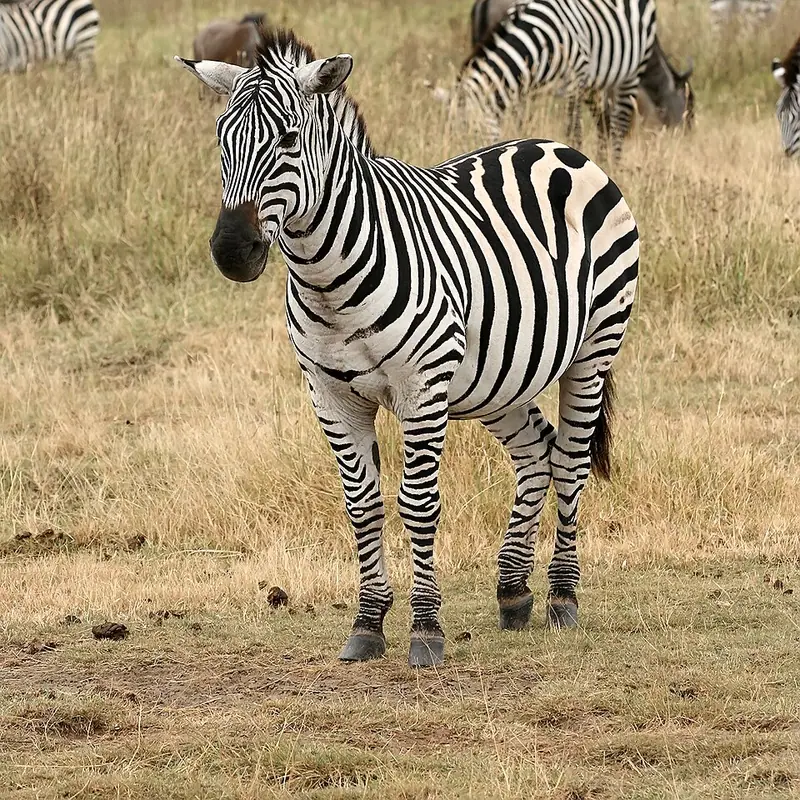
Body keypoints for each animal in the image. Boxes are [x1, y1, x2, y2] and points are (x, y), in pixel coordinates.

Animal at [175, 28, 640, 667]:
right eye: (222, 142)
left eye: (289, 139)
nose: (230, 252)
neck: (328, 281)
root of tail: (559, 147)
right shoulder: (330, 396)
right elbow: (362, 505)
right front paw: (368, 623)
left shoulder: (422, 385)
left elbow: (418, 503)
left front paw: (425, 629)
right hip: (498, 377)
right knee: (536, 452)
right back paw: (513, 591)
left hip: (594, 347)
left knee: (569, 460)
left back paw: (563, 598)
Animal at [447, 0, 658, 160]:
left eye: (470, 133)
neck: (539, 43)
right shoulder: (523, 89)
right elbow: (522, 124)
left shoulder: (575, 77)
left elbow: (573, 130)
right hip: (594, 83)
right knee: (603, 120)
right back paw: (603, 160)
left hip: (632, 71)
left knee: (619, 122)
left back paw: (614, 163)